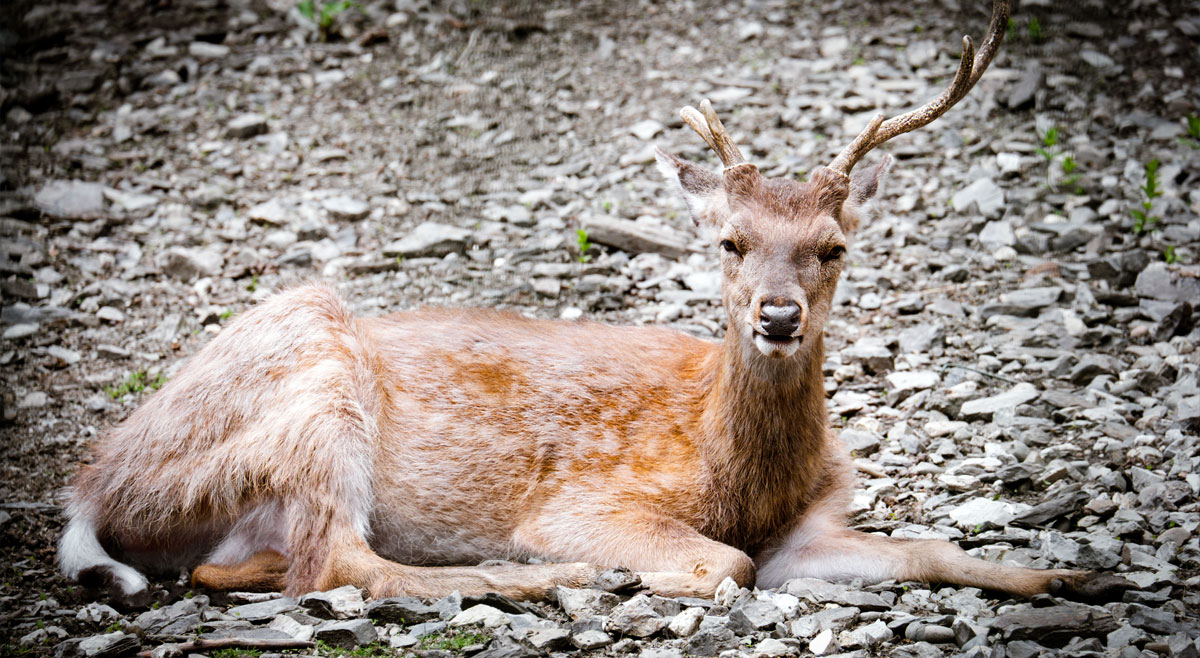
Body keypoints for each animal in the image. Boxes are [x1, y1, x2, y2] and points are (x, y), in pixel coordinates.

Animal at [60, 0, 1132, 607]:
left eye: (834, 248)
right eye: (729, 242)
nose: (778, 316)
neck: (735, 471)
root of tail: (90, 485)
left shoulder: (814, 530)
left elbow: (931, 549)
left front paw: (1076, 574)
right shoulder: (591, 499)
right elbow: (728, 566)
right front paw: (625, 569)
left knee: (249, 566)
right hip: (315, 377)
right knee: (338, 564)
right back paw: (550, 579)